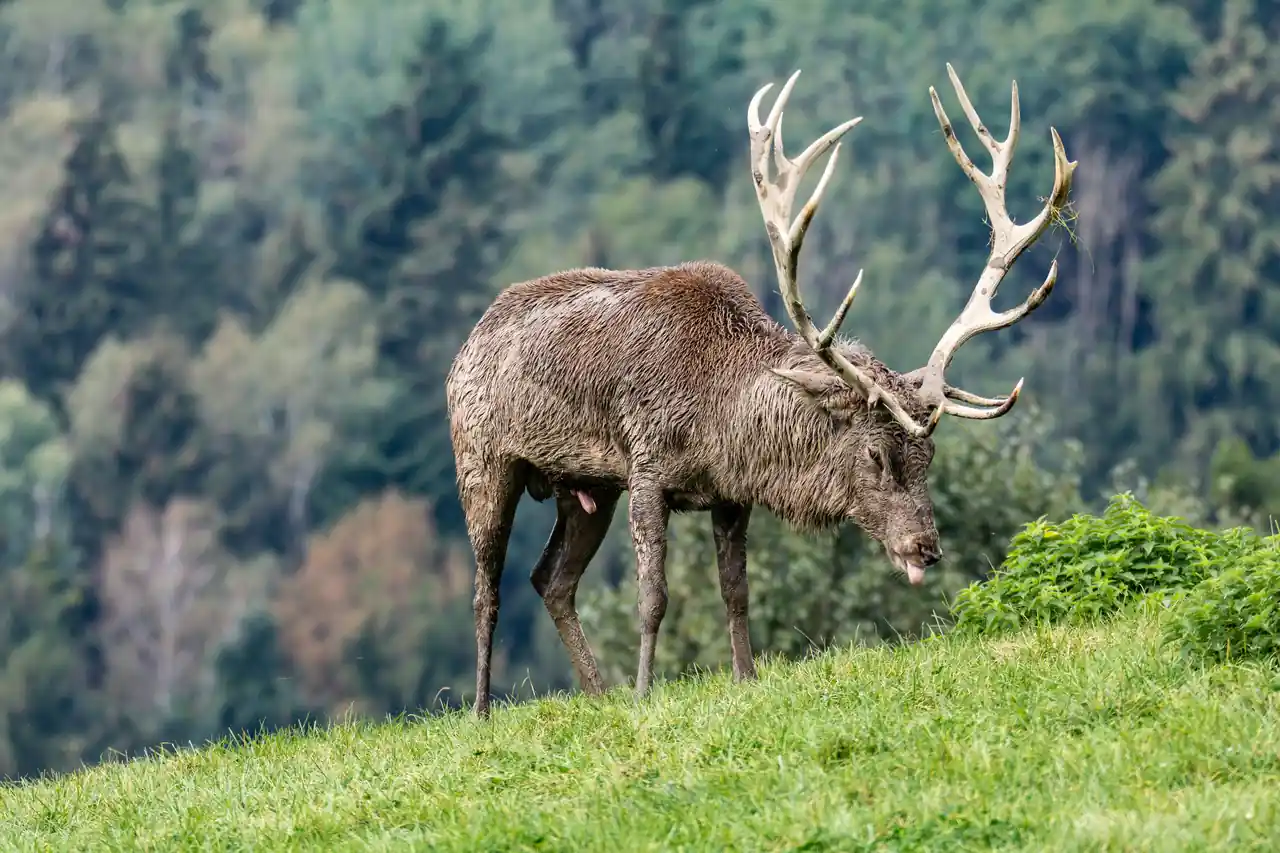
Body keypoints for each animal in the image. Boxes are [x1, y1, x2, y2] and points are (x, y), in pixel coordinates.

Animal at [446, 63, 1076, 718]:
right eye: (875, 455)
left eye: (929, 456)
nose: (925, 548)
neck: (721, 419)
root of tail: (470, 339)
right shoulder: (647, 469)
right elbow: (654, 595)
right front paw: (645, 693)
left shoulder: (730, 493)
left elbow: (736, 589)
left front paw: (745, 679)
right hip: (483, 461)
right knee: (487, 587)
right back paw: (484, 708)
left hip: (586, 486)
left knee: (552, 580)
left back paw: (597, 695)